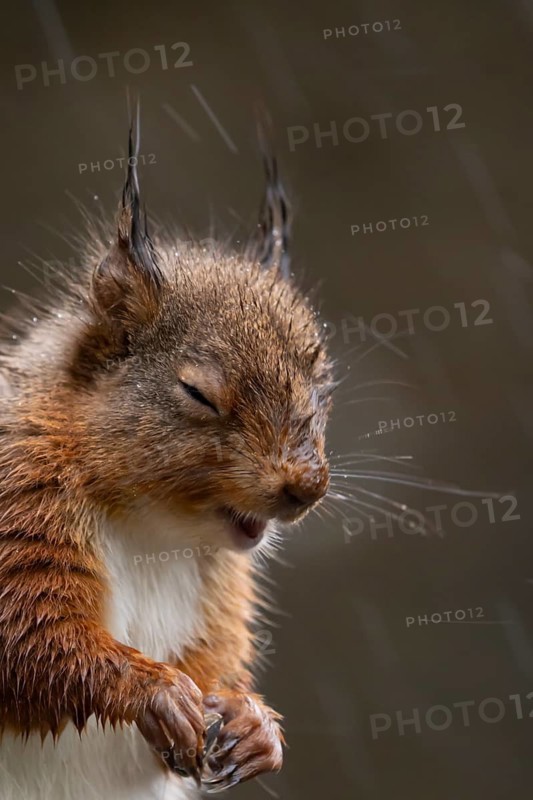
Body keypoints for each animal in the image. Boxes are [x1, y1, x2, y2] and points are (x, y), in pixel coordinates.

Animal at [0, 114, 334, 800]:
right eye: (197, 393)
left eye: (323, 382)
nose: (307, 486)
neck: (152, 527)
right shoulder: (20, 500)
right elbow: (35, 638)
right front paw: (152, 689)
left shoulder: (221, 591)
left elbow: (215, 653)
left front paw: (253, 722)